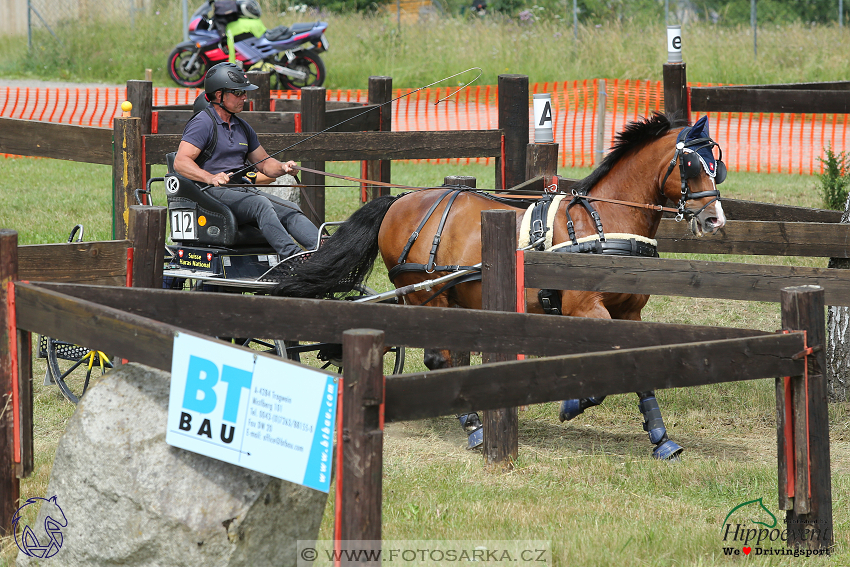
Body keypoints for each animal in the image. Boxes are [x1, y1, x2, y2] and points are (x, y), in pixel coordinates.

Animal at [274, 113, 724, 460]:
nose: (715, 219)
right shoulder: (585, 309)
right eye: (691, 164)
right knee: (437, 358)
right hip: (425, 292)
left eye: (715, 163)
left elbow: (640, 372)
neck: (604, 221)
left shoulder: (629, 312)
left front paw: (662, 440)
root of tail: (400, 201)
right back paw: (473, 427)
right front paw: (571, 404)